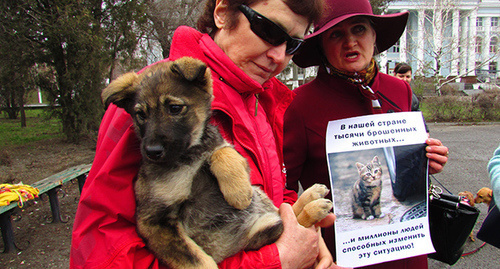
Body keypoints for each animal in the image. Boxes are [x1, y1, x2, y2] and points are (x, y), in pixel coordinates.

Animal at [101, 57, 332, 268]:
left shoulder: (230, 152)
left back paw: (313, 196)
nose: (152, 152)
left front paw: (238, 193)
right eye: (140, 114)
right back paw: (314, 207)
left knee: (284, 211)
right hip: (262, 235)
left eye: (175, 108)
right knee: (291, 223)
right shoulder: (153, 220)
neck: (189, 155)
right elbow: (197, 260)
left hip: (260, 200)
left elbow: (222, 152)